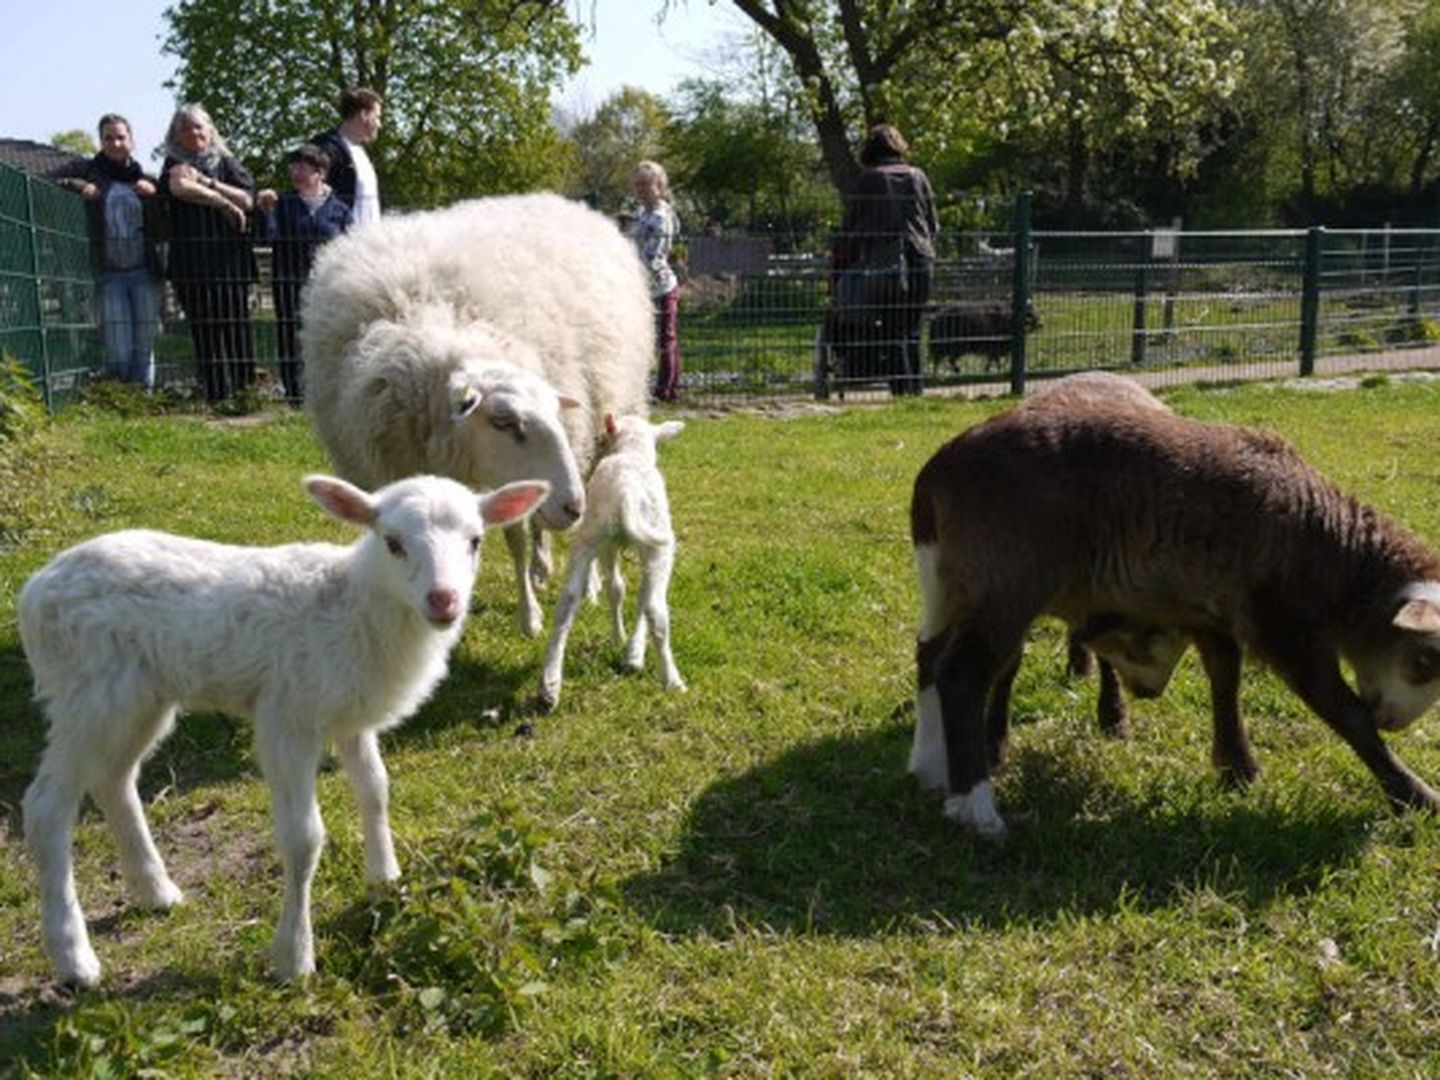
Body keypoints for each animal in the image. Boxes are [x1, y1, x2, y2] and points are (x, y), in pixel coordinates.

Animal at [22, 472, 550, 990]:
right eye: (393, 542)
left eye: (476, 541)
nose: (444, 600)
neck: (356, 605)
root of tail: (36, 588)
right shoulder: (287, 717)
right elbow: (303, 837)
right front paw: (294, 956)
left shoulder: (350, 717)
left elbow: (375, 790)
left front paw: (385, 878)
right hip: (88, 692)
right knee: (47, 807)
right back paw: (73, 957)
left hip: (143, 697)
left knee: (113, 779)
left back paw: (156, 890)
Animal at [303, 191, 653, 639]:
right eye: (504, 422)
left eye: (554, 413)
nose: (572, 506)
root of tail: (560, 201)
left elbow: (515, 537)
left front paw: (529, 617)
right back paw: (545, 563)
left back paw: (584, 578)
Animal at [538, 411, 682, 711]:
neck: (632, 451)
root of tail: (628, 493)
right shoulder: (616, 546)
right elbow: (622, 591)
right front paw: (627, 646)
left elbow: (625, 591)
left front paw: (630, 650)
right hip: (648, 544)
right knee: (655, 608)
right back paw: (672, 680)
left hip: (593, 536)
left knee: (568, 601)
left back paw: (549, 686)